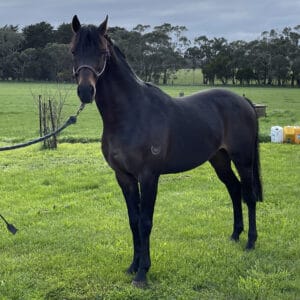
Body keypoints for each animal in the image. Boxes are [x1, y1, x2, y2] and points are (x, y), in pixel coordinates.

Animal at [70, 15, 262, 288]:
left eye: (102, 52)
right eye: (73, 51)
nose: (86, 91)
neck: (131, 113)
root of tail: (243, 101)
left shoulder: (149, 176)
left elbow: (145, 221)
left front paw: (142, 274)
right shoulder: (124, 178)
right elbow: (133, 220)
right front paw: (132, 266)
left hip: (243, 160)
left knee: (249, 195)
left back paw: (250, 242)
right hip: (219, 159)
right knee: (234, 190)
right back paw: (235, 235)